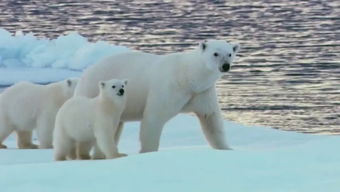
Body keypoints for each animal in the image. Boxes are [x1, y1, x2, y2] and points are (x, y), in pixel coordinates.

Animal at [75, 39, 239, 153]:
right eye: (215, 53)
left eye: (230, 53)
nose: (225, 66)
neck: (188, 76)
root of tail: (85, 74)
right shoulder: (168, 88)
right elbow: (153, 118)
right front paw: (148, 151)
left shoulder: (202, 92)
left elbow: (211, 119)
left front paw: (227, 149)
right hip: (92, 91)